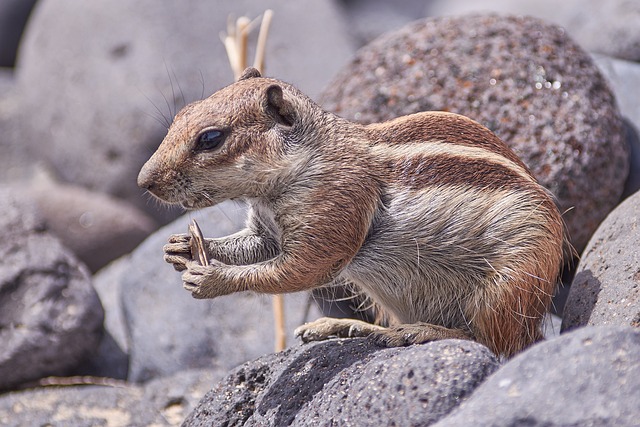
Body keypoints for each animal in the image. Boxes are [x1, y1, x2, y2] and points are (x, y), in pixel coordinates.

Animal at [139, 67, 564, 358]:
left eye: (211, 138)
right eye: (182, 114)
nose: (144, 181)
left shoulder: (335, 209)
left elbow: (299, 270)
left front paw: (212, 279)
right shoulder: (265, 230)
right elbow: (254, 248)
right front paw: (182, 246)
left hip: (507, 286)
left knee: (497, 342)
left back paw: (417, 332)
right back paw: (346, 326)